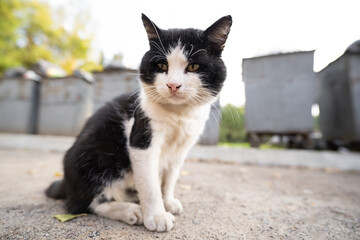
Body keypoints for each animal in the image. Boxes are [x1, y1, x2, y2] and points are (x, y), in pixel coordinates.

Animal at [45, 13, 232, 232]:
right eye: (162, 65)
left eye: (193, 66)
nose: (173, 85)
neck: (179, 115)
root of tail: (66, 182)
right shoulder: (141, 136)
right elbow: (150, 184)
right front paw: (157, 215)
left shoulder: (182, 148)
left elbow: (170, 178)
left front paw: (168, 201)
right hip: (91, 159)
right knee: (85, 204)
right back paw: (131, 211)